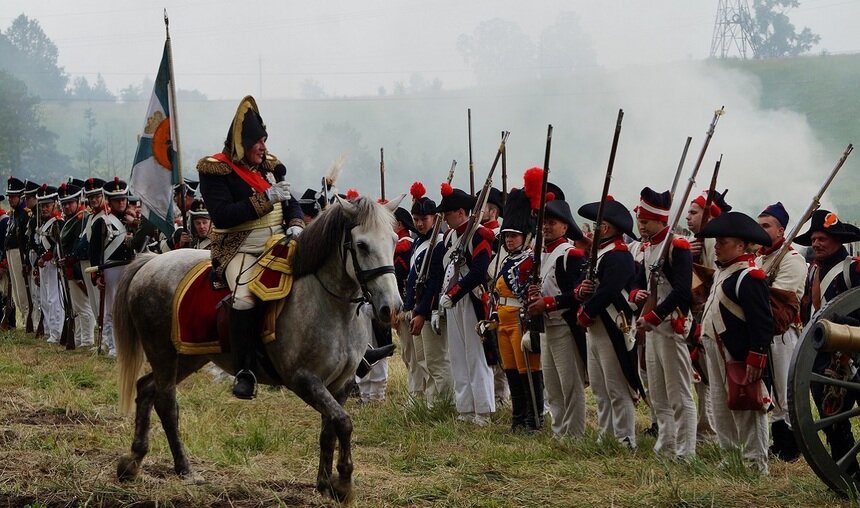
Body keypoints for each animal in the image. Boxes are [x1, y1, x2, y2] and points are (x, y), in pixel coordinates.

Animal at [113, 194, 404, 500]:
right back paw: (184, 469)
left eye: (394, 240)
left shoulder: (341, 384)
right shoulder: (304, 379)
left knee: (147, 389)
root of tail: (151, 262)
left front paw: (325, 484)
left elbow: (330, 428)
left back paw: (133, 462)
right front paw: (344, 483)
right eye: (361, 245)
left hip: (188, 357)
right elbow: (344, 422)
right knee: (167, 403)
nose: (392, 307)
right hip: (163, 353)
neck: (330, 304)